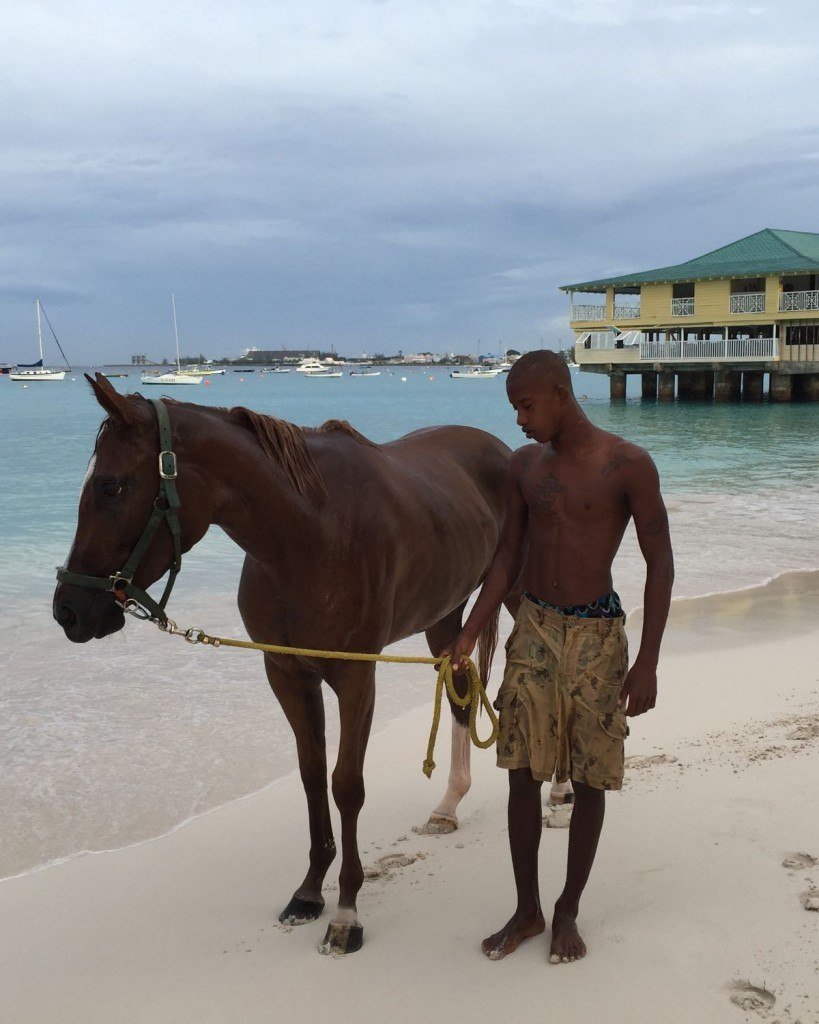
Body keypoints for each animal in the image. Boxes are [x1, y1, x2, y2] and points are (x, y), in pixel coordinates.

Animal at [52, 374, 511, 950]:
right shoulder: (287, 674)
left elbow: (346, 784)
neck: (311, 534)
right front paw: (310, 891)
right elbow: (313, 775)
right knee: (461, 688)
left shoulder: (356, 675)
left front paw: (347, 912)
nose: (68, 610)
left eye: (111, 486)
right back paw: (448, 806)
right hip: (444, 616)